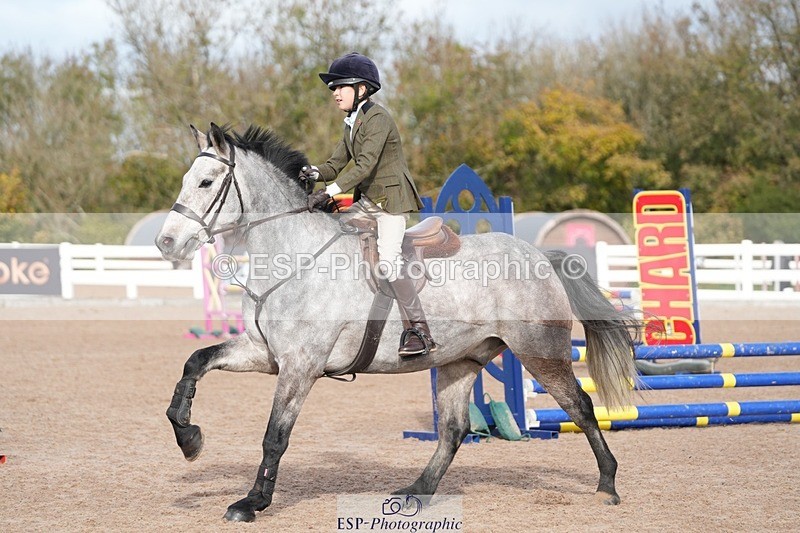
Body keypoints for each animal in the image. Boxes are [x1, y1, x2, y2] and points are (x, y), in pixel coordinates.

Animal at [155, 122, 640, 522]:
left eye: (205, 182)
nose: (166, 243)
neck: (291, 257)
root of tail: (538, 255)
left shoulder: (300, 366)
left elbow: (275, 435)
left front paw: (252, 502)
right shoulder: (265, 354)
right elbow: (196, 361)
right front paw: (188, 437)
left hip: (540, 351)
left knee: (581, 407)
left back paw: (607, 485)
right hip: (461, 360)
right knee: (453, 430)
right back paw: (415, 491)